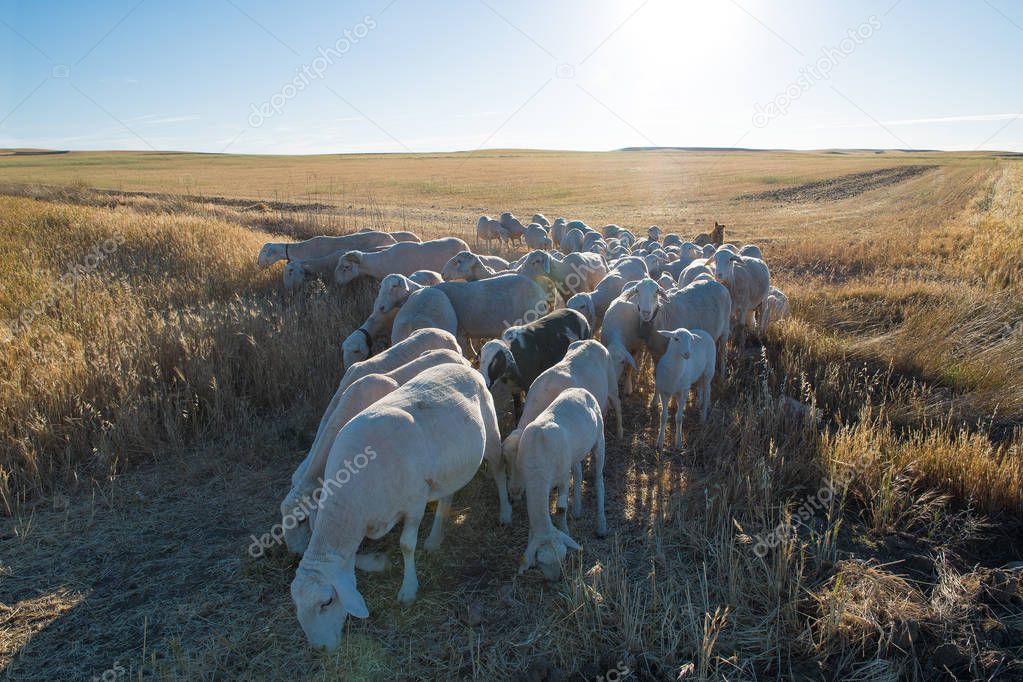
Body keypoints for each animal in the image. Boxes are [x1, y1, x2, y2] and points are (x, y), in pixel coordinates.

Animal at [292, 361, 503, 650]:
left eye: (326, 602)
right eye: (297, 605)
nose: (321, 649)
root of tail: (465, 366)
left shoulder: (414, 503)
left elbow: (406, 545)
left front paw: (408, 590)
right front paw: (378, 563)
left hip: (491, 433)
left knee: (499, 468)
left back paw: (506, 512)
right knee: (447, 495)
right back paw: (435, 539)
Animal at [505, 386, 601, 580]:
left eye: (563, 556)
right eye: (542, 562)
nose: (557, 580)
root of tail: (580, 389)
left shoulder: (563, 479)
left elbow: (561, 508)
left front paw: (565, 530)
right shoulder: (535, 484)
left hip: (599, 436)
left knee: (599, 476)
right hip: (574, 453)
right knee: (578, 472)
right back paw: (577, 509)